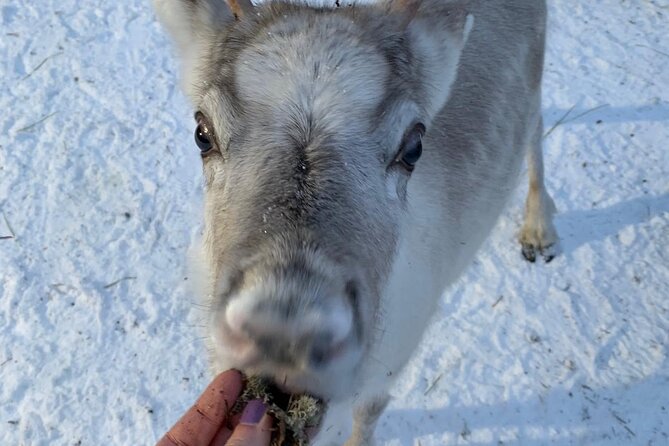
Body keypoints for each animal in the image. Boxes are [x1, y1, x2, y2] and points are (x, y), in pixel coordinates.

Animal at [153, 0, 557, 444]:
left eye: (414, 147)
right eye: (202, 133)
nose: (284, 332)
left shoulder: (392, 358)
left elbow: (369, 412)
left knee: (536, 124)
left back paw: (539, 229)